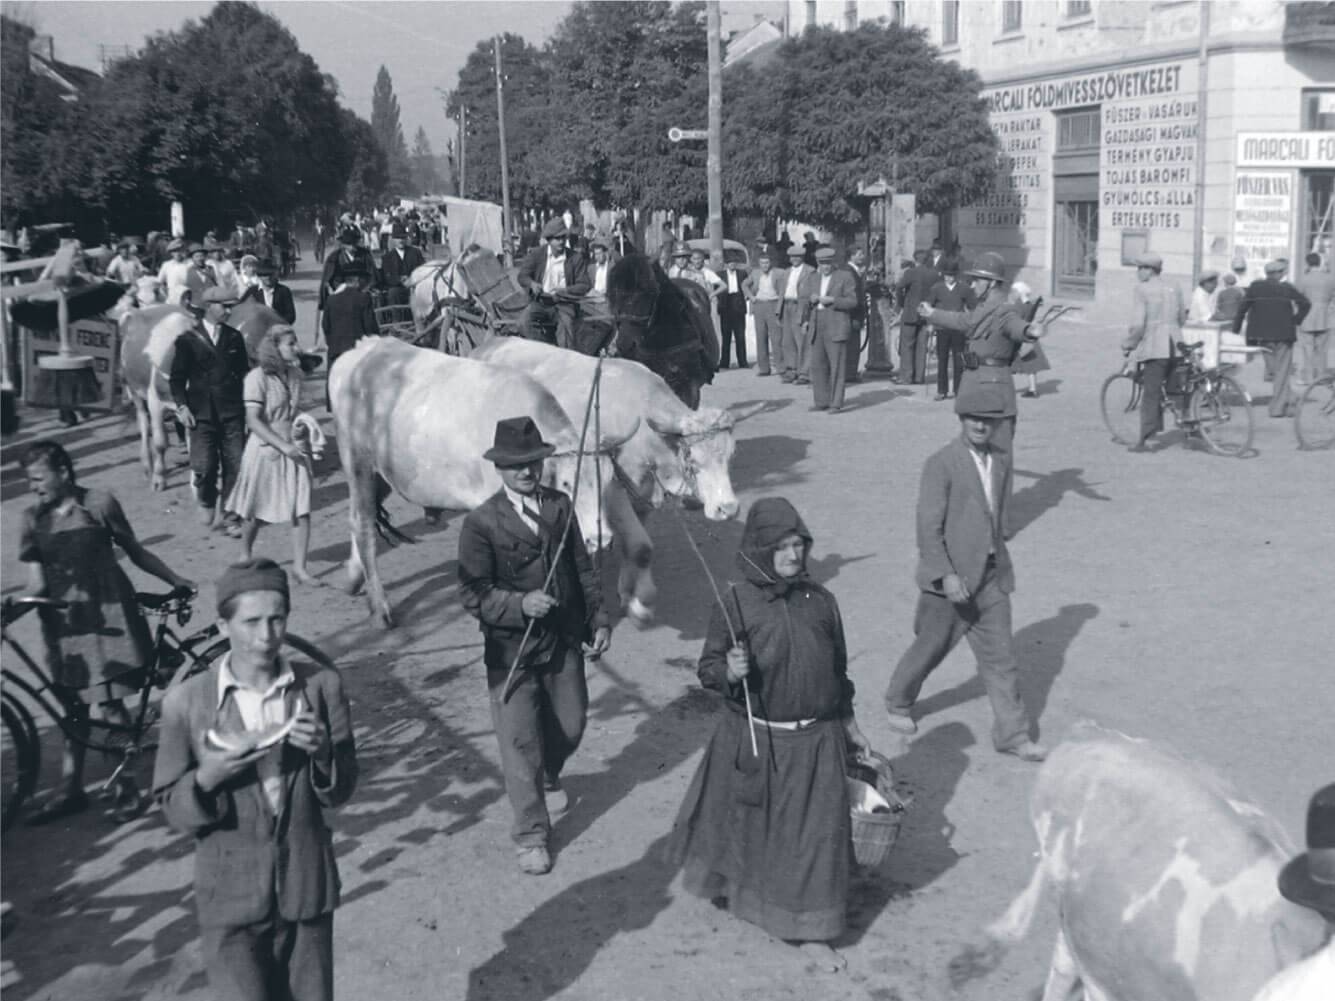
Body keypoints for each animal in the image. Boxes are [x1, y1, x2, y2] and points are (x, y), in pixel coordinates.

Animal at [331, 337, 627, 627]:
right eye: (567, 483)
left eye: (607, 481)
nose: (601, 539)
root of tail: (365, 348)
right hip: (358, 464)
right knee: (363, 525)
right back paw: (380, 608)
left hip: (381, 475)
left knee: (360, 518)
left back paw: (354, 578)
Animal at [469, 339, 742, 619]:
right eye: (694, 461)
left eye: (731, 455)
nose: (729, 509)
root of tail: (491, 343)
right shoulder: (612, 491)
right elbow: (640, 546)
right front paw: (640, 603)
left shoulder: (642, 495)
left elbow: (637, 547)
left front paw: (629, 591)